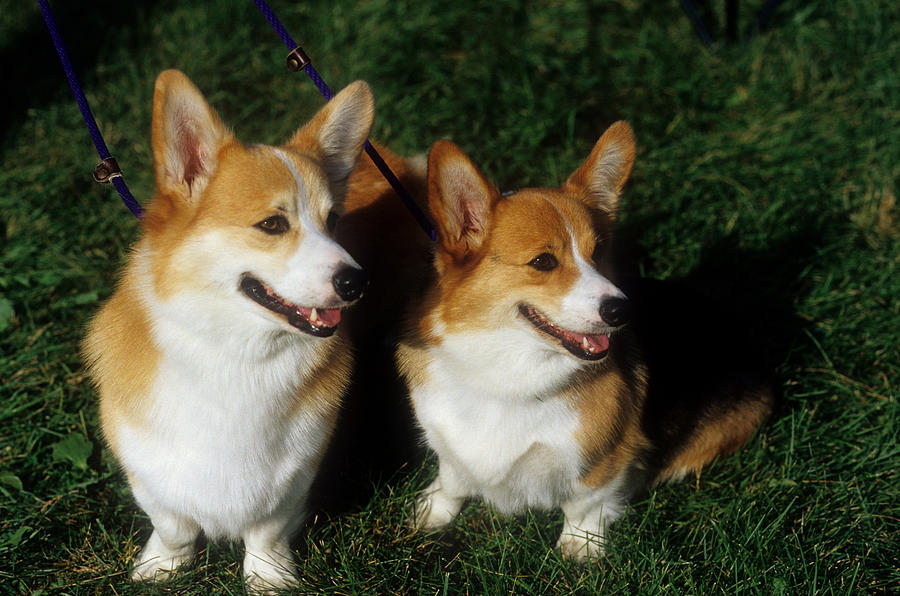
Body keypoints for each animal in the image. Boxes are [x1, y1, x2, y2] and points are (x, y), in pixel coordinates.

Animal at [84, 71, 376, 592]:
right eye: (272, 224)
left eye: (333, 221)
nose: (356, 282)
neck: (235, 351)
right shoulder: (147, 467)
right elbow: (173, 523)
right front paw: (162, 566)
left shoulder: (293, 472)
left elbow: (266, 529)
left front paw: (268, 577)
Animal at [380, 122, 772, 564]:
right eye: (543, 262)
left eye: (598, 251)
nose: (621, 311)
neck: (508, 370)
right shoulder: (449, 444)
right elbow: (452, 479)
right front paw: (434, 511)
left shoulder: (606, 459)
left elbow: (586, 503)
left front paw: (579, 546)